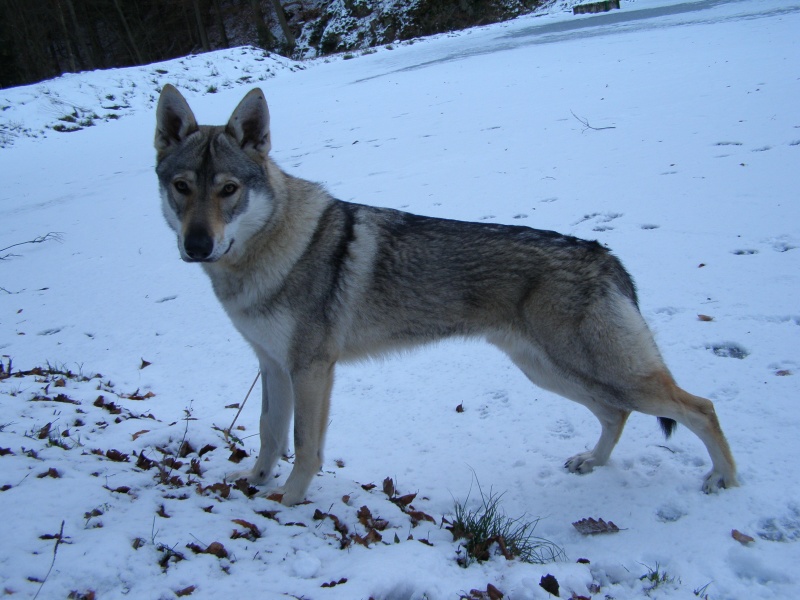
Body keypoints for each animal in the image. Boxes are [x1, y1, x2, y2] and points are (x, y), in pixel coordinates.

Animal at [153, 85, 736, 506]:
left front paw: (288, 502)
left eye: (229, 190)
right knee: (616, 415)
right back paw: (592, 463)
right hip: (550, 371)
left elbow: (304, 447)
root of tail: (605, 254)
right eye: (182, 187)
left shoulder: (312, 369)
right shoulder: (272, 366)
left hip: (602, 371)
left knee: (701, 406)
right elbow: (268, 433)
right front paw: (254, 483)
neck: (266, 252)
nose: (197, 245)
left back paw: (724, 480)